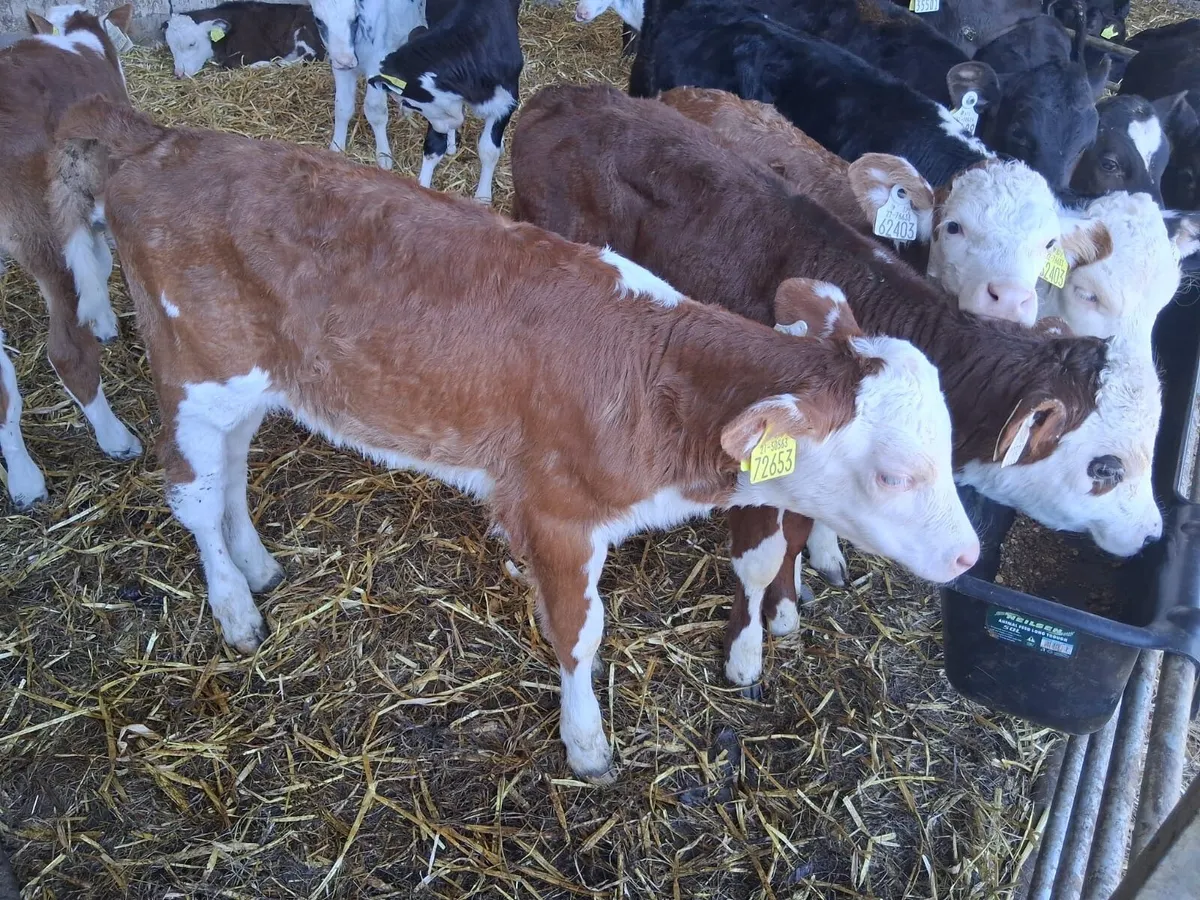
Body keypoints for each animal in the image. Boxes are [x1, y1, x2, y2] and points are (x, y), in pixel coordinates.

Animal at [0, 4, 142, 509]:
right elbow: (100, 264)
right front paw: (104, 323)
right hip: (47, 233)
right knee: (67, 353)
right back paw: (116, 438)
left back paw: (24, 481)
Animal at [56, 96, 978, 782]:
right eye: (895, 473)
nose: (970, 556)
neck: (655, 371)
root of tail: (163, 140)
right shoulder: (562, 512)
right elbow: (581, 633)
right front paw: (587, 743)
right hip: (192, 368)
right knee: (194, 489)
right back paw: (234, 606)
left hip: (253, 381)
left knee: (235, 466)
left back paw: (256, 564)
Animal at [163, 1, 324, 79]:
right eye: (171, 47)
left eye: (192, 43)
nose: (179, 74)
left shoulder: (257, 51)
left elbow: (230, 64)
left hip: (303, 30)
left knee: (311, 56)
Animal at [308, 0, 425, 169]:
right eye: (318, 21)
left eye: (355, 19)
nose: (346, 61)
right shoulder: (340, 68)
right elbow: (343, 107)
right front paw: (336, 147)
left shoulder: (376, 64)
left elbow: (375, 111)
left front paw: (384, 155)